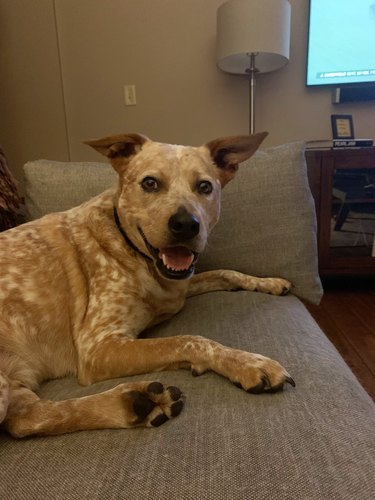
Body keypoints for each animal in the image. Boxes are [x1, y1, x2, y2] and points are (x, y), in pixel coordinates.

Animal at [0, 133, 294, 438]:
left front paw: (269, 282)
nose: (186, 224)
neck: (135, 256)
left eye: (204, 186)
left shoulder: (177, 291)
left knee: (26, 418)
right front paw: (248, 363)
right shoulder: (96, 348)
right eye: (150, 183)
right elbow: (189, 340)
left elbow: (226, 273)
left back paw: (133, 403)